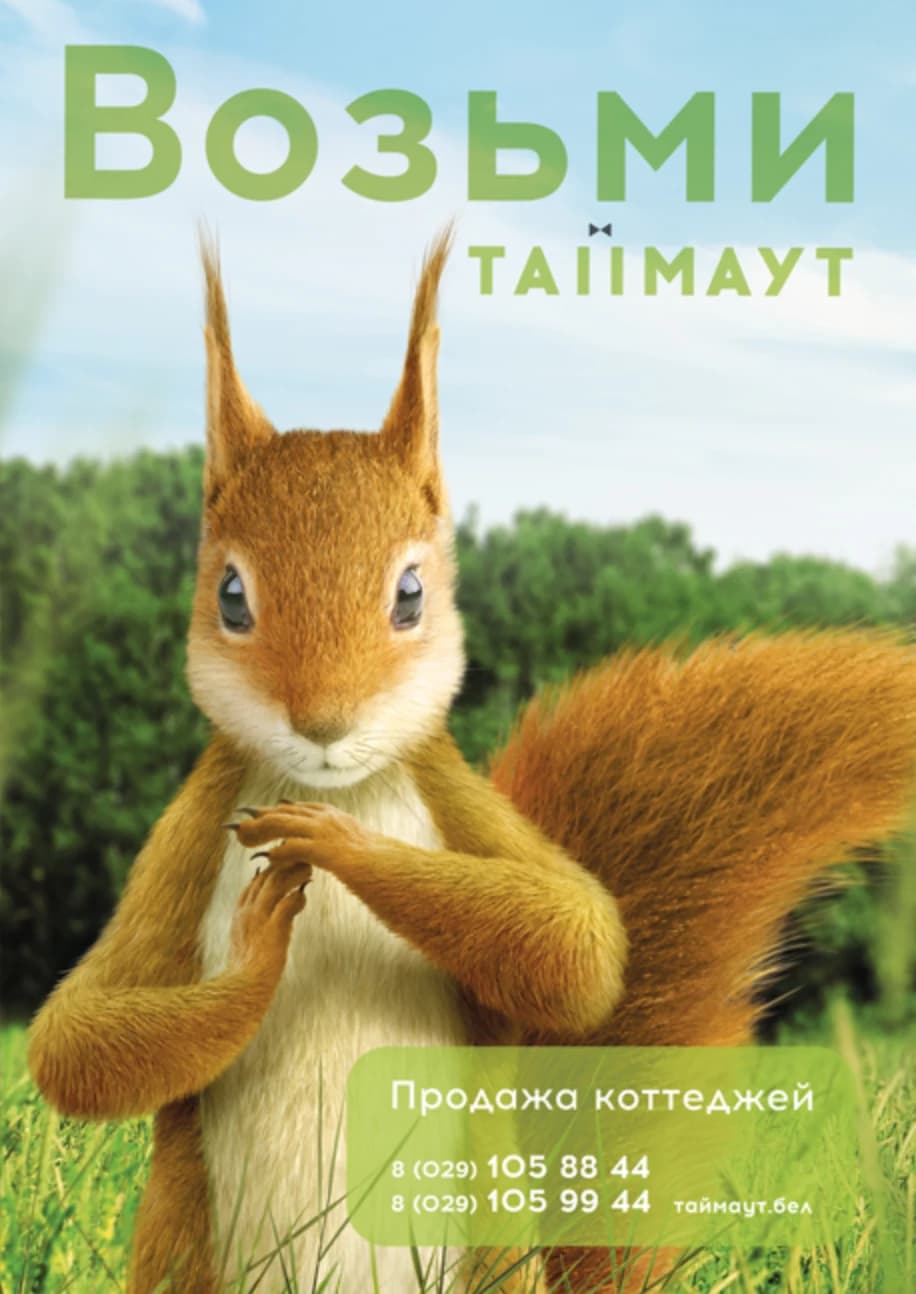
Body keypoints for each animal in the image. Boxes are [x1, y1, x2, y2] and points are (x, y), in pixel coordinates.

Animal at [26, 227, 916, 1294]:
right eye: (229, 596)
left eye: (411, 593)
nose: (323, 724)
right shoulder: (190, 829)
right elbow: (77, 1040)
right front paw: (258, 951)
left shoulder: (455, 797)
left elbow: (576, 945)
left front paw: (335, 846)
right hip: (178, 1241)